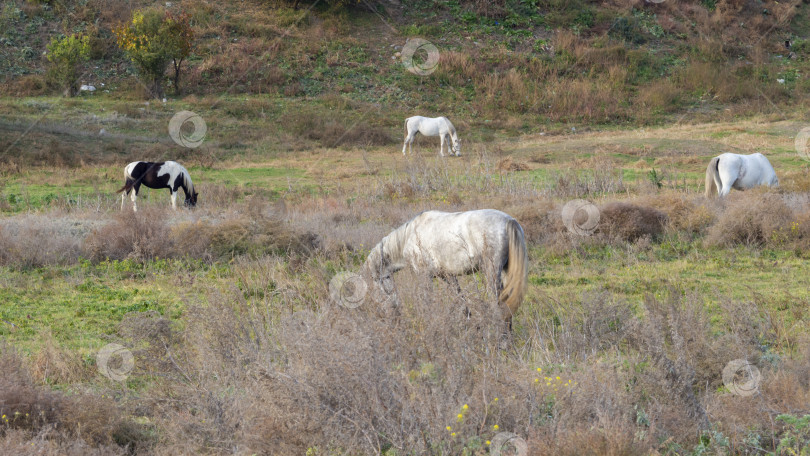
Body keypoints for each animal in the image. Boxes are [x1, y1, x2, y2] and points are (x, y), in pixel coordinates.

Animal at [362, 209, 528, 332]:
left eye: (379, 280)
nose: (393, 316)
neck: (409, 236)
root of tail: (509, 221)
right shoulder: (448, 276)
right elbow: (462, 303)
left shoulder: (424, 276)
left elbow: (427, 302)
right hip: (506, 273)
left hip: (491, 272)